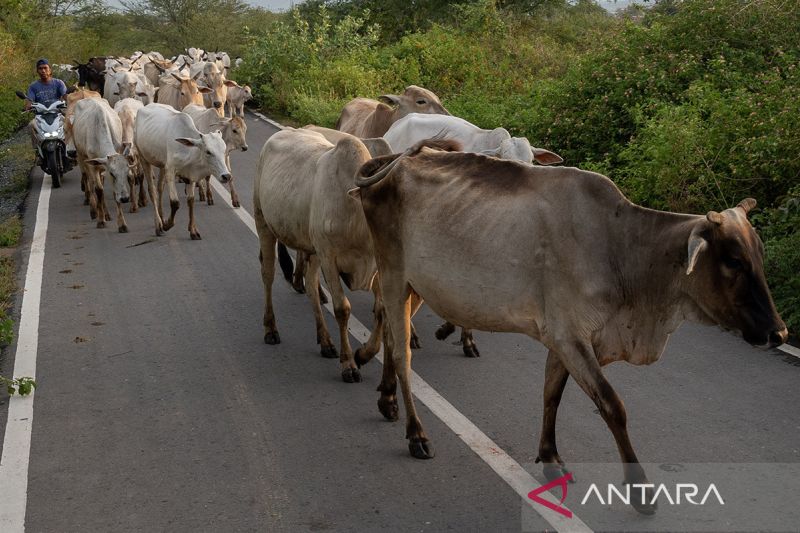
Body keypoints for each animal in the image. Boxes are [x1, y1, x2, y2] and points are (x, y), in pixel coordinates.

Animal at [71, 96, 133, 230]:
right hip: (82, 157)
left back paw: (107, 214)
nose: (125, 198)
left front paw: (122, 224)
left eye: (126, 173)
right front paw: (100, 220)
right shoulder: (93, 165)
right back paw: (94, 211)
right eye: (113, 174)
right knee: (90, 183)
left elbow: (113, 192)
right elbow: (98, 190)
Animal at [134, 102, 231, 239]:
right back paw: (158, 224)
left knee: (159, 188)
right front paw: (167, 225)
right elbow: (175, 203)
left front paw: (193, 230)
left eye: (223, 150)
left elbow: (190, 201)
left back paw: (162, 216)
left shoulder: (190, 176)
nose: (226, 176)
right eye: (208, 152)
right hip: (144, 159)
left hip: (162, 164)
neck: (189, 152)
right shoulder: (170, 171)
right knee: (152, 191)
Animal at [253, 126, 394, 380]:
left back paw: (326, 341)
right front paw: (349, 364)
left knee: (310, 285)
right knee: (267, 275)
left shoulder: (376, 267)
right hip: (264, 223)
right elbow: (342, 309)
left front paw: (364, 354)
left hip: (312, 249)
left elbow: (380, 310)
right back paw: (270, 328)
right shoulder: (329, 258)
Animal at [352, 142, 788, 516]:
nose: (779, 333)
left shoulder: (562, 340)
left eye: (758, 254)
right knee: (402, 351)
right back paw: (416, 433)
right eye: (732, 260)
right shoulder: (571, 337)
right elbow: (613, 406)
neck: (621, 250)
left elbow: (552, 395)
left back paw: (385, 396)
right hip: (394, 274)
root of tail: (394, 161)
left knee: (390, 333)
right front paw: (641, 491)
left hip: (416, 285)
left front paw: (550, 457)